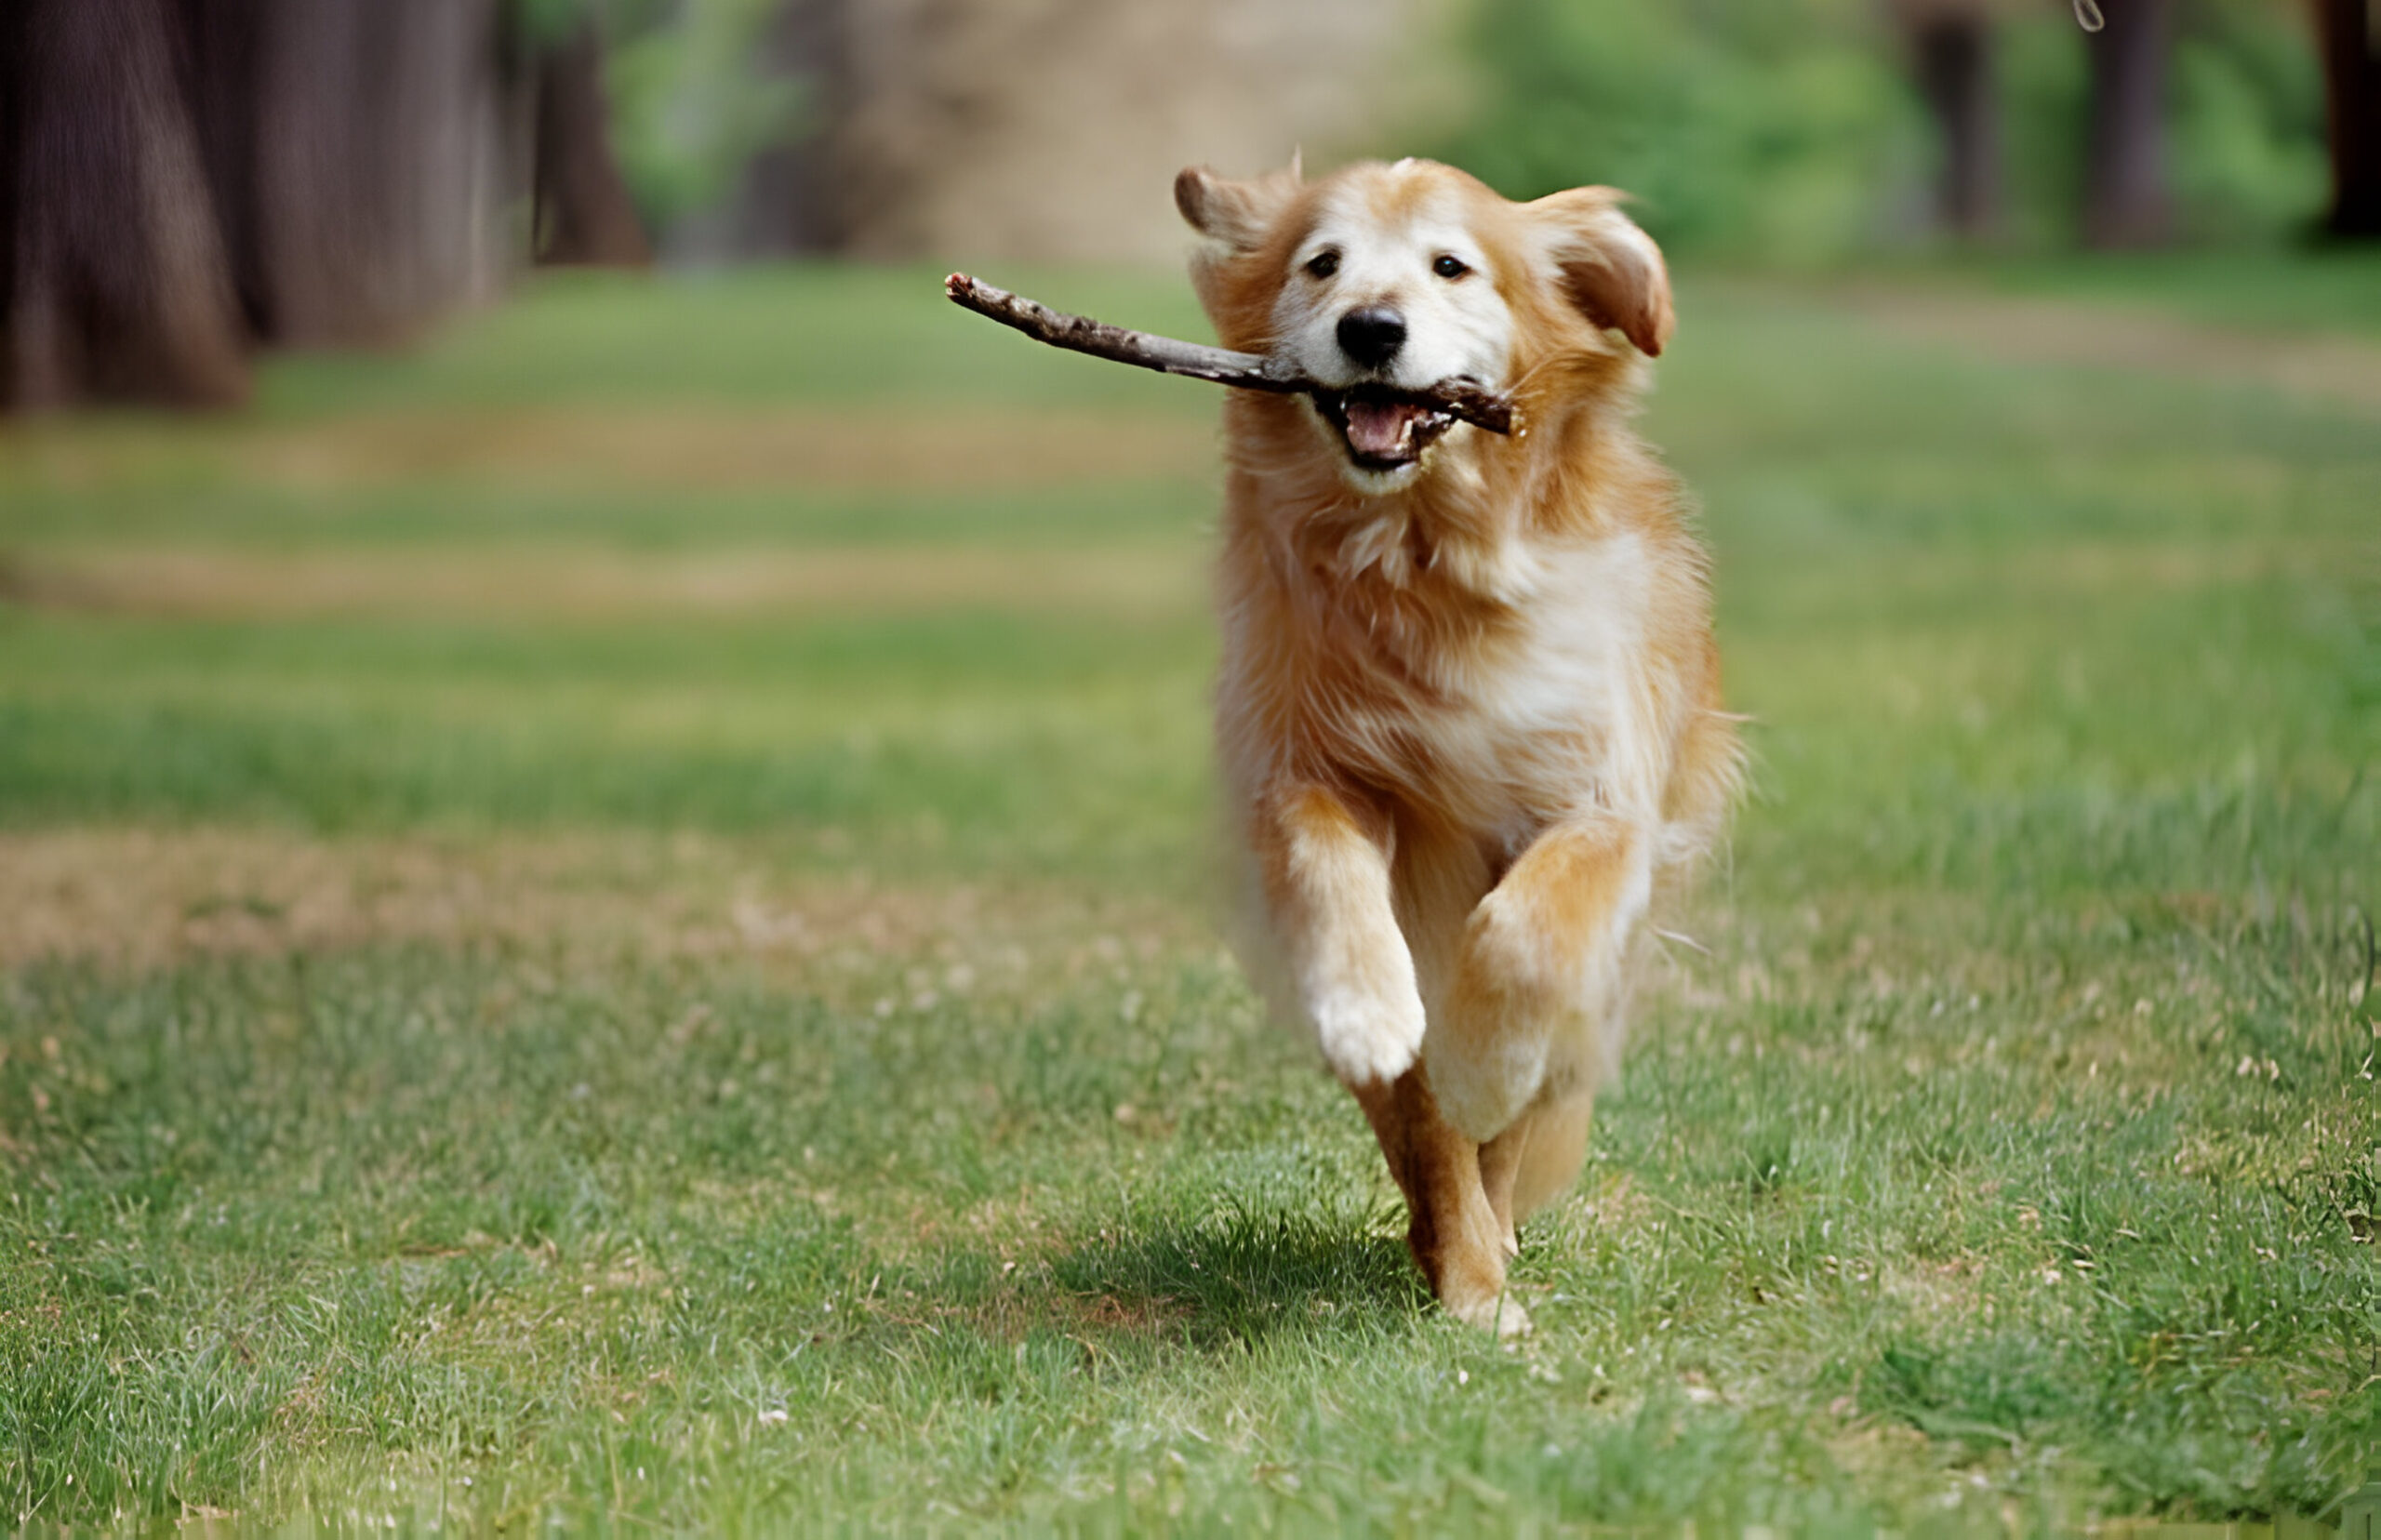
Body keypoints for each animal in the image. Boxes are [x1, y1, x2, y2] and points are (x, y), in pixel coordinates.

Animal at [1180, 159, 1742, 1333]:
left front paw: (1482, 1070)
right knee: (1416, 1123)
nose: (1370, 327)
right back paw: (1461, 1257)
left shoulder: (1596, 799)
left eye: (1451, 266)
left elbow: (1522, 941)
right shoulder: (1303, 764)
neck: (1423, 561)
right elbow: (1327, 869)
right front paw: (1365, 1013)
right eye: (1322, 263)